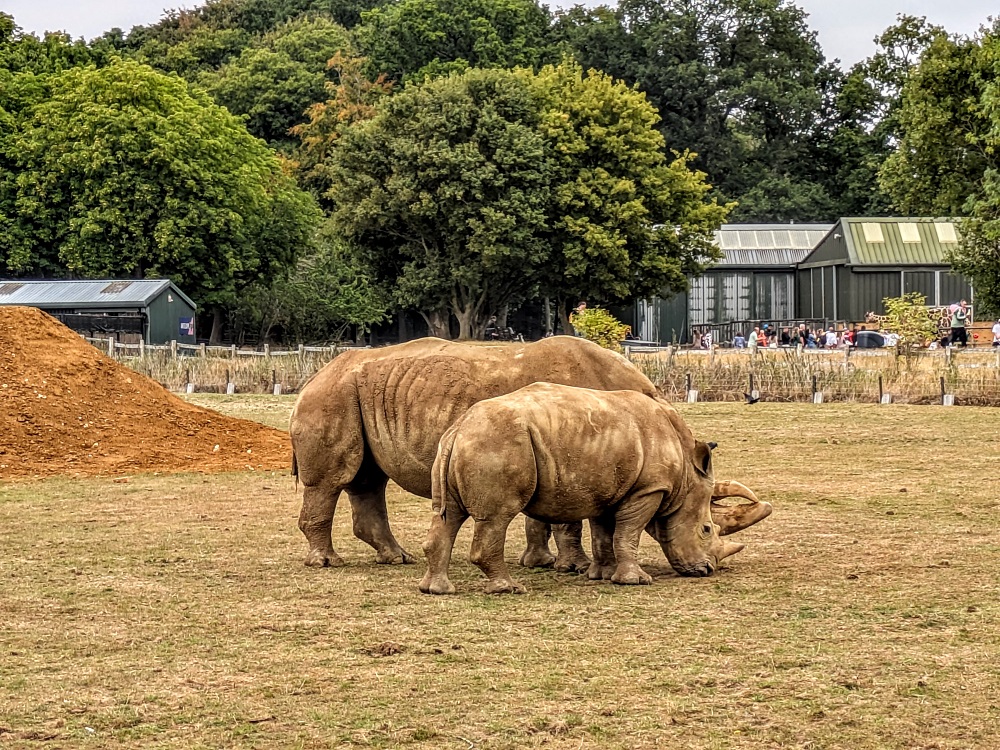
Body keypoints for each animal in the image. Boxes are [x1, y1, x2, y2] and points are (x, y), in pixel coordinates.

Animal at [290, 336, 770, 569]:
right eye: (708, 526)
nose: (710, 568)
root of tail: (314, 372)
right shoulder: (577, 455)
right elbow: (567, 519)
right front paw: (572, 566)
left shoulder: (564, 454)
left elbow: (544, 516)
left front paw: (541, 563)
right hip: (333, 395)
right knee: (333, 480)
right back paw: (327, 563)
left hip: (359, 392)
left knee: (368, 479)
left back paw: (396, 558)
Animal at [420, 383, 750, 594]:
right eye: (706, 529)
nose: (707, 570)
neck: (685, 477)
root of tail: (459, 426)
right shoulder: (648, 489)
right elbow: (628, 532)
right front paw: (636, 581)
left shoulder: (609, 487)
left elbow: (605, 533)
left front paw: (601, 575)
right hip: (497, 442)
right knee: (497, 517)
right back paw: (508, 589)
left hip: (466, 443)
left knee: (447, 516)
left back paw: (437, 590)